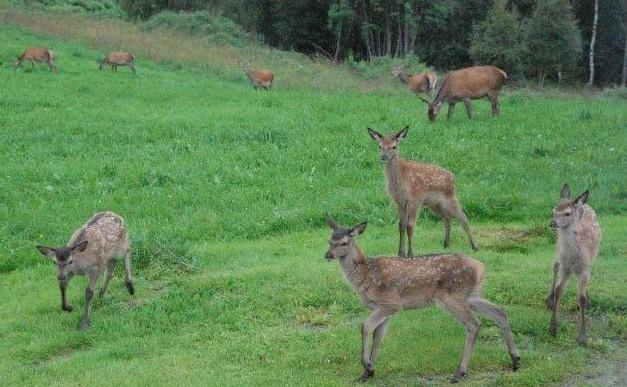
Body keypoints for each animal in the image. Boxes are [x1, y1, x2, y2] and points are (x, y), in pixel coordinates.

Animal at [326, 217, 524, 384]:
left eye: (344, 242)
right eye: (329, 240)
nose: (327, 255)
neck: (367, 274)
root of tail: (480, 267)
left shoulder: (392, 302)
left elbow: (365, 326)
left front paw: (367, 366)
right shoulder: (384, 308)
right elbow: (378, 336)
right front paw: (367, 373)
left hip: (452, 297)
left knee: (474, 324)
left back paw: (459, 373)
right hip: (471, 295)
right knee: (499, 312)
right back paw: (515, 361)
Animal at [366, 126, 478, 258]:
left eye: (394, 146)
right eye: (380, 146)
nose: (384, 157)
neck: (401, 178)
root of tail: (453, 177)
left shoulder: (415, 199)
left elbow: (410, 226)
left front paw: (410, 253)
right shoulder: (400, 202)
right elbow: (401, 225)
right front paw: (400, 253)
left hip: (450, 197)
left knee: (463, 216)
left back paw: (474, 246)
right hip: (435, 203)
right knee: (447, 217)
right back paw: (446, 244)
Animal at [548, 183, 600, 348]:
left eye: (567, 213)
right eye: (554, 210)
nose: (552, 223)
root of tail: (582, 203)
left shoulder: (584, 268)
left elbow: (581, 298)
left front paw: (583, 338)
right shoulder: (565, 267)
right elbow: (558, 290)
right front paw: (553, 327)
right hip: (558, 247)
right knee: (555, 265)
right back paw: (549, 300)